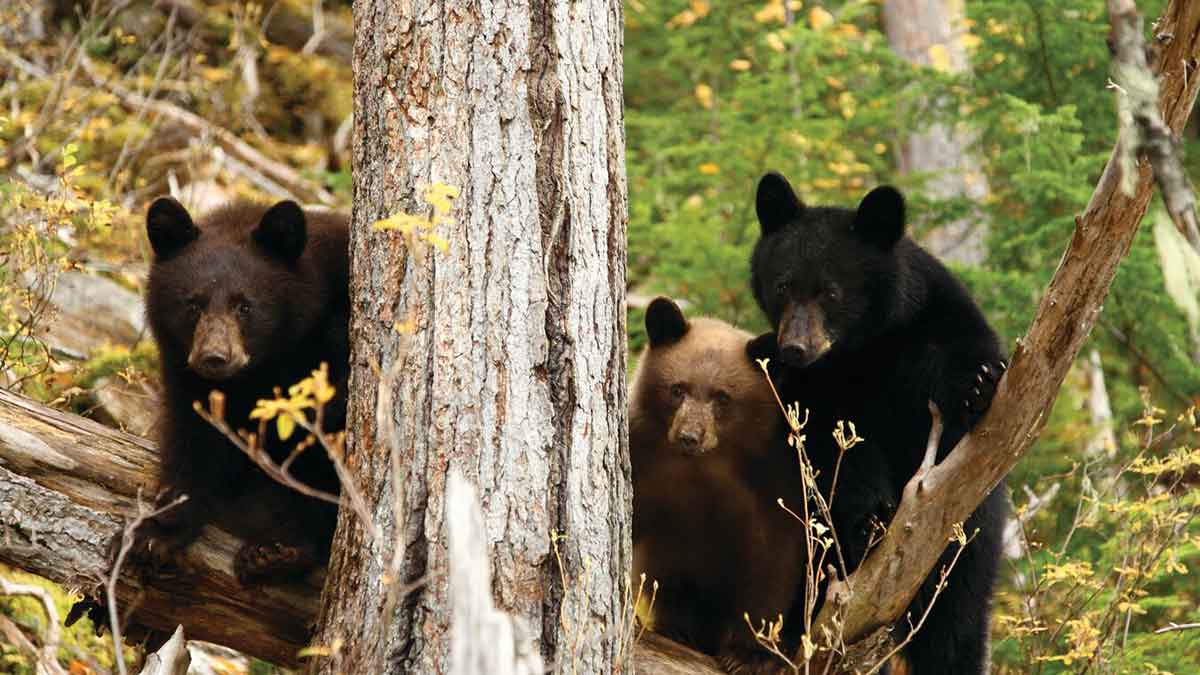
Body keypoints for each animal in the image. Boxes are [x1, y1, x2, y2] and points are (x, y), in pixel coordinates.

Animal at [139, 195, 350, 583]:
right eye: (193, 304)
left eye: (245, 306)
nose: (214, 357)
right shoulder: (183, 372)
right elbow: (192, 436)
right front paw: (160, 531)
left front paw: (281, 546)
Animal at [628, 296, 806, 667]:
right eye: (677, 389)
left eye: (723, 397)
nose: (689, 436)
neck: (702, 465)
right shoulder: (641, 455)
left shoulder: (770, 476)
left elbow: (775, 556)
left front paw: (748, 654)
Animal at [744, 172, 1008, 672]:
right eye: (783, 285)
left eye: (831, 291)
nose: (795, 348)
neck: (864, 349)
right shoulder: (809, 391)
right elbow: (832, 451)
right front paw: (870, 518)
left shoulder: (931, 316)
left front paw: (978, 384)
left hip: (970, 546)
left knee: (956, 621)